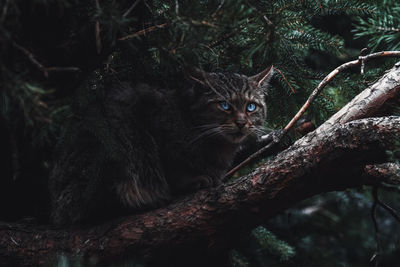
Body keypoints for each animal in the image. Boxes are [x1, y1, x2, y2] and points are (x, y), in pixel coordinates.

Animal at [48, 67, 274, 226]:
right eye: (225, 105)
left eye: (251, 107)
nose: (242, 122)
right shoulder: (152, 119)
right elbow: (172, 165)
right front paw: (193, 180)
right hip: (118, 141)